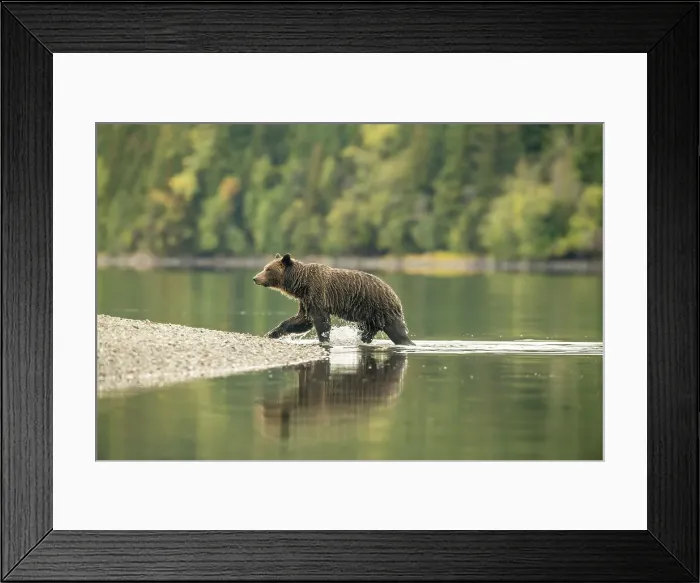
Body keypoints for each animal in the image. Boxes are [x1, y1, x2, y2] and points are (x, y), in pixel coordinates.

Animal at [253, 253, 415, 346]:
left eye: (268, 269)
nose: (255, 278)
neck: (301, 284)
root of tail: (394, 294)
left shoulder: (317, 295)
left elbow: (321, 321)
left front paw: (324, 339)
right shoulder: (306, 300)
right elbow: (301, 321)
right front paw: (272, 333)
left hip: (382, 310)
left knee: (398, 333)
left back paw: (408, 343)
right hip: (369, 318)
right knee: (365, 333)